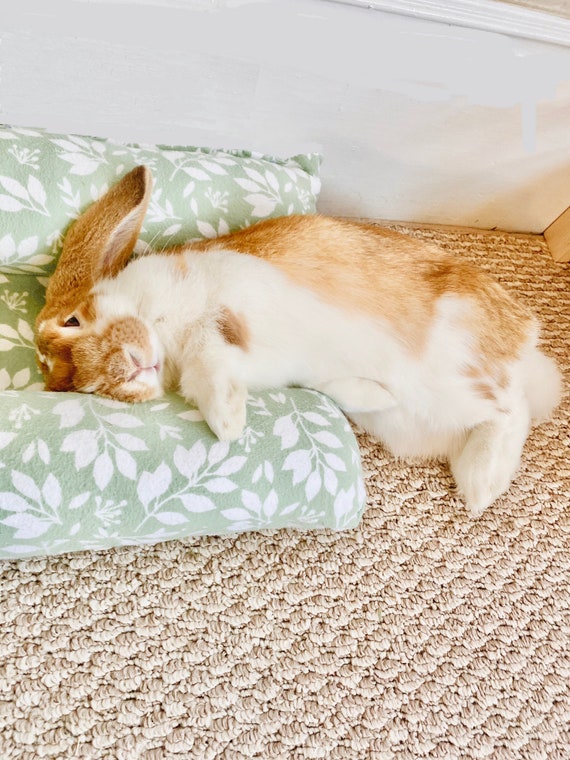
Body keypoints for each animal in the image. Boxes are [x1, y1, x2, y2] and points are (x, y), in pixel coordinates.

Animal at [34, 166, 562, 516]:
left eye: (73, 320)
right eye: (83, 388)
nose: (123, 370)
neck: (156, 324)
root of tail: (526, 350)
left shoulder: (213, 310)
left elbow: (211, 353)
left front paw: (227, 422)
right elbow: (218, 371)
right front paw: (232, 416)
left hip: (452, 360)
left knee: (510, 408)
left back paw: (480, 485)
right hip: (409, 421)